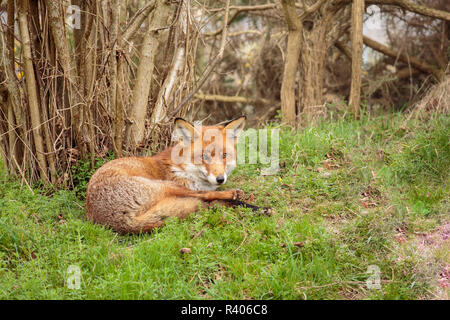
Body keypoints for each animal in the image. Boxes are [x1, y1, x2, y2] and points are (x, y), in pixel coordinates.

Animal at [85, 116, 268, 234]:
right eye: (204, 156)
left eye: (224, 155)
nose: (220, 179)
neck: (185, 168)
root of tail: (120, 221)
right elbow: (208, 194)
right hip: (166, 186)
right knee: (207, 197)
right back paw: (242, 199)